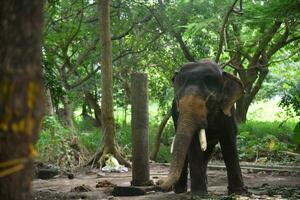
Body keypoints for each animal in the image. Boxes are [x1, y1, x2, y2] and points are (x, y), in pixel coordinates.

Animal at [161, 59, 247, 197]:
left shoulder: (227, 110)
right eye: (178, 100)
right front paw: (198, 194)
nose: (159, 183)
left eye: (210, 99)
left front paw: (238, 192)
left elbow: (228, 139)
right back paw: (179, 190)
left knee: (208, 151)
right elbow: (193, 143)